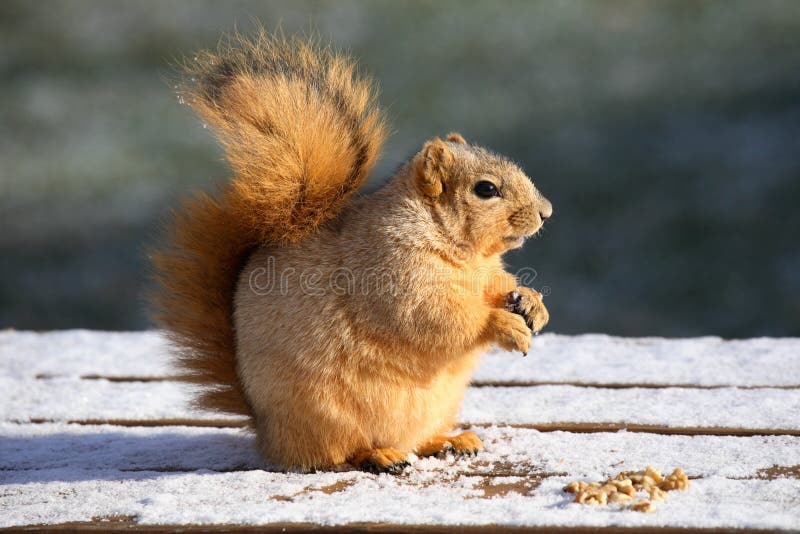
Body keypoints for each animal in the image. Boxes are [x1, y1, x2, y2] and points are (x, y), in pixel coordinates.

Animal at [150, 31, 552, 476]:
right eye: (486, 189)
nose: (546, 212)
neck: (462, 251)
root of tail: (267, 433)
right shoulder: (391, 274)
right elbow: (435, 319)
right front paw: (502, 324)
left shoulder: (486, 273)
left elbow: (499, 286)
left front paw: (532, 305)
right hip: (325, 417)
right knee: (338, 454)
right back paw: (379, 455)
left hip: (434, 408)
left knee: (417, 438)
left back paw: (451, 441)